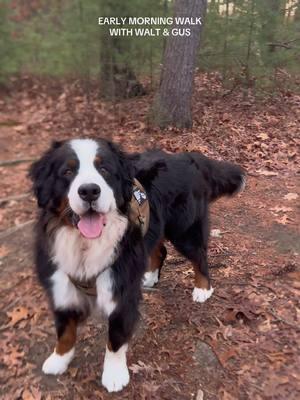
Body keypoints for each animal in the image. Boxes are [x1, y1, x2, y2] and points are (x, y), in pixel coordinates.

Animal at [29, 138, 245, 390]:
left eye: (104, 170)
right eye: (67, 172)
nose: (89, 191)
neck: (85, 245)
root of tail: (186, 156)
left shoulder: (121, 290)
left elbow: (116, 337)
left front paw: (114, 375)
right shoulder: (61, 282)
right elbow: (64, 330)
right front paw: (58, 359)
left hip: (184, 230)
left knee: (199, 256)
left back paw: (202, 288)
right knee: (159, 251)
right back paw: (149, 277)